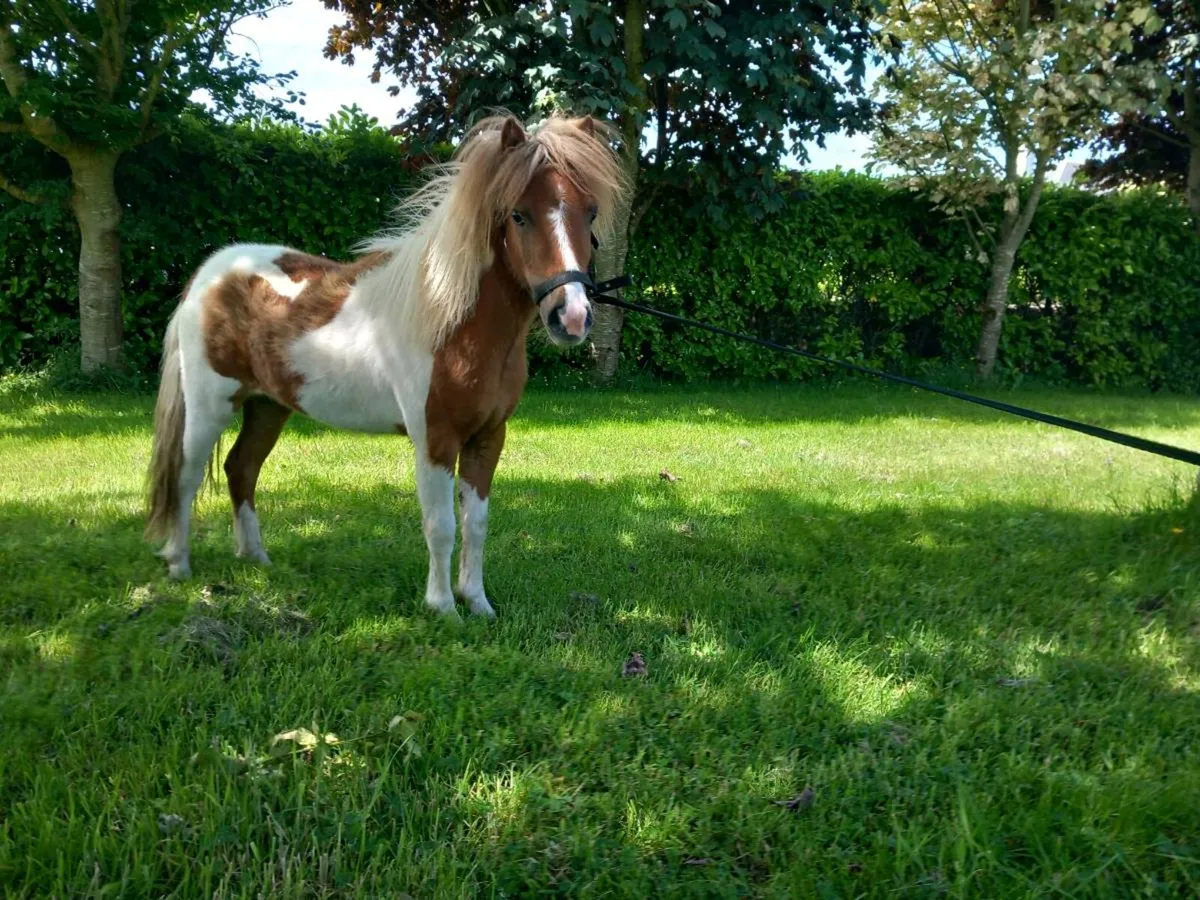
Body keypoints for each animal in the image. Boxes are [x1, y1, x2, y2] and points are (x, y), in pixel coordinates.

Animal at [144, 114, 628, 618]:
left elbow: (476, 524)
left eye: (590, 212)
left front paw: (477, 604)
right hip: (210, 406)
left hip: (268, 406)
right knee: (185, 475)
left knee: (241, 468)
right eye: (518, 214)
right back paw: (179, 565)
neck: (452, 323)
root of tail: (208, 275)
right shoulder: (435, 440)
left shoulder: (488, 437)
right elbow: (441, 525)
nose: (571, 317)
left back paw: (256, 558)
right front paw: (443, 608)